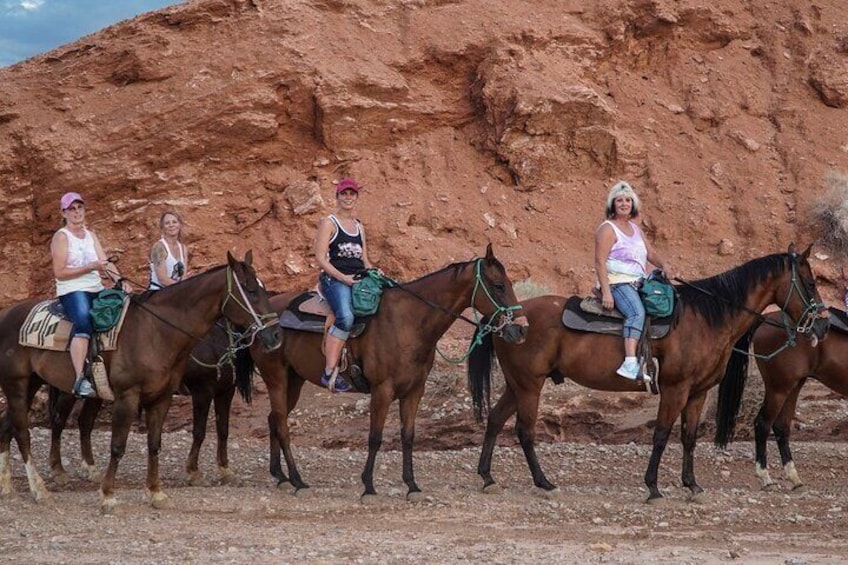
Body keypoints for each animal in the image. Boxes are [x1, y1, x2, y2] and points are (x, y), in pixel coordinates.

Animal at [45, 320, 255, 486]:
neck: (216, 341)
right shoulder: (202, 391)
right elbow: (199, 432)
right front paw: (194, 472)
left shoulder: (225, 392)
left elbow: (223, 431)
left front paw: (225, 470)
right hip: (69, 390)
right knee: (58, 420)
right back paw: (58, 471)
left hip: (99, 393)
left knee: (85, 422)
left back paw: (91, 468)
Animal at [258, 243, 528, 498]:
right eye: (498, 286)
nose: (520, 329)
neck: (407, 322)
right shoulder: (382, 390)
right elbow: (375, 437)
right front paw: (368, 487)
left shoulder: (414, 391)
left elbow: (407, 436)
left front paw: (412, 486)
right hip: (276, 379)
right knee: (282, 425)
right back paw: (297, 480)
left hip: (294, 381)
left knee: (273, 419)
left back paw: (280, 476)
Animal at [716, 308, 840, 490]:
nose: (824, 326)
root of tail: (766, 318)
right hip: (779, 388)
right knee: (763, 423)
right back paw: (765, 476)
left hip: (793, 385)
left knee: (781, 426)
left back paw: (793, 477)